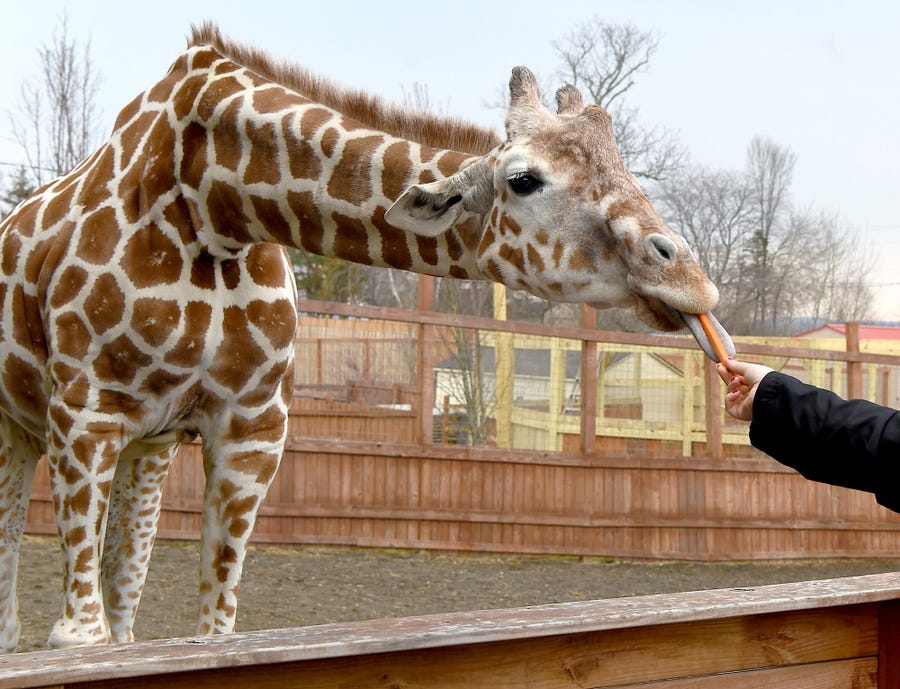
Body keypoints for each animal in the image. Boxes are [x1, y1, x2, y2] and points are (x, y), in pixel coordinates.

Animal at [0, 23, 733, 652]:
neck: (216, 204)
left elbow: (212, 627)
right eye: (524, 179)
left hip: (146, 446)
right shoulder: (85, 415)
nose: (691, 280)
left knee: (123, 599)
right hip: (26, 429)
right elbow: (77, 638)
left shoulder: (251, 429)